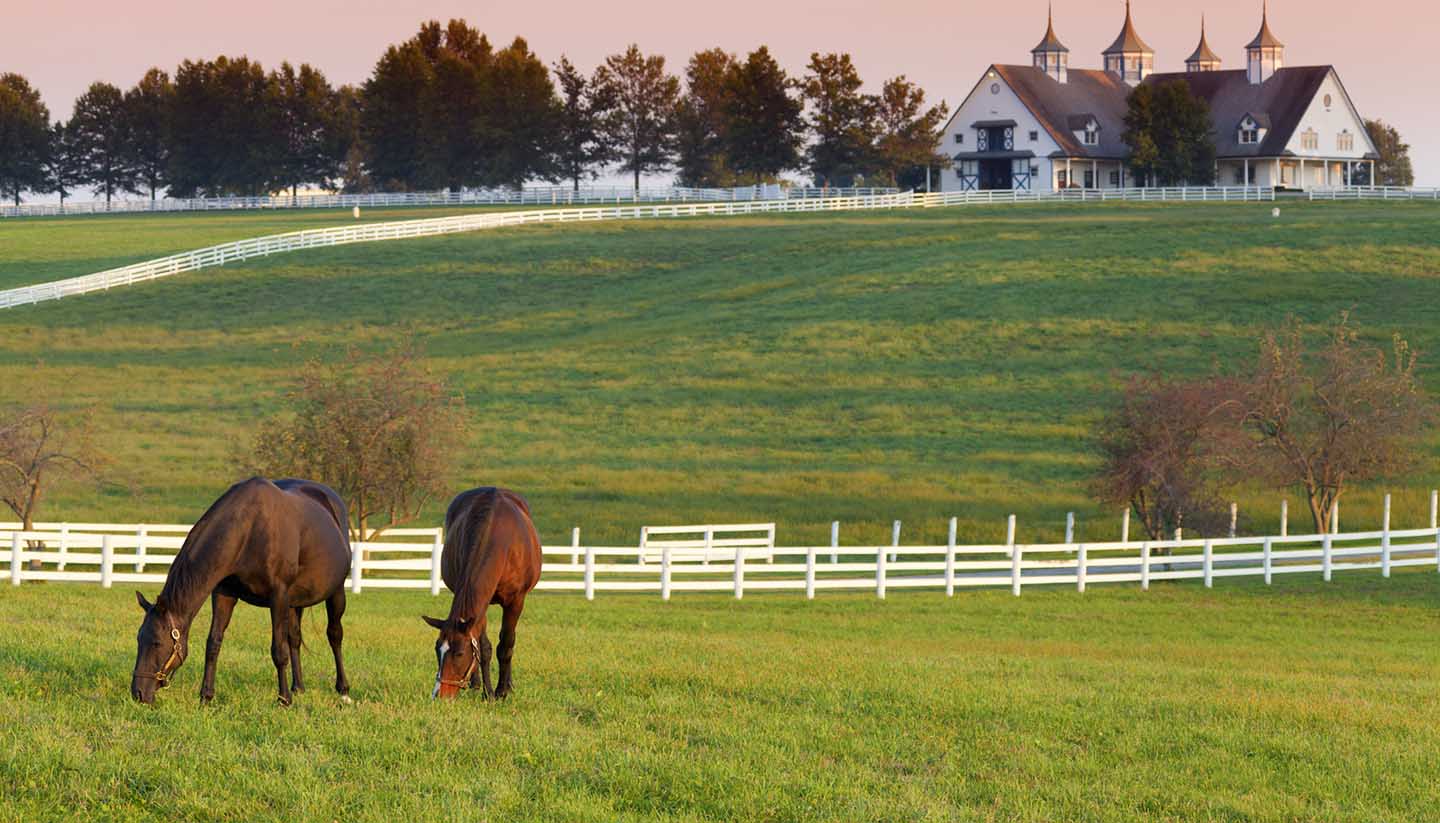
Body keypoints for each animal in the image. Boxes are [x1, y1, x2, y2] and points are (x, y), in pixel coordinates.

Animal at [132, 474, 354, 707]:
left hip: (336, 592)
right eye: (139, 639)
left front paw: (284, 699)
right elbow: (213, 643)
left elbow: (278, 650)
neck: (249, 530)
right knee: (295, 638)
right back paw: (298, 687)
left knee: (334, 635)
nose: (138, 693)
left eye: (157, 643)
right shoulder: (224, 593)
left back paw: (343, 689)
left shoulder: (278, 596)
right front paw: (206, 696)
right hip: (295, 601)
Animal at [426, 489, 544, 702]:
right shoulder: (481, 606)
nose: (439, 694)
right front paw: (487, 691)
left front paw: (501, 691)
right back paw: (476, 683)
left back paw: (508, 684)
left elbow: (506, 644)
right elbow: (484, 648)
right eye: (437, 649)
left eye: (459, 653)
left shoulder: (516, 601)